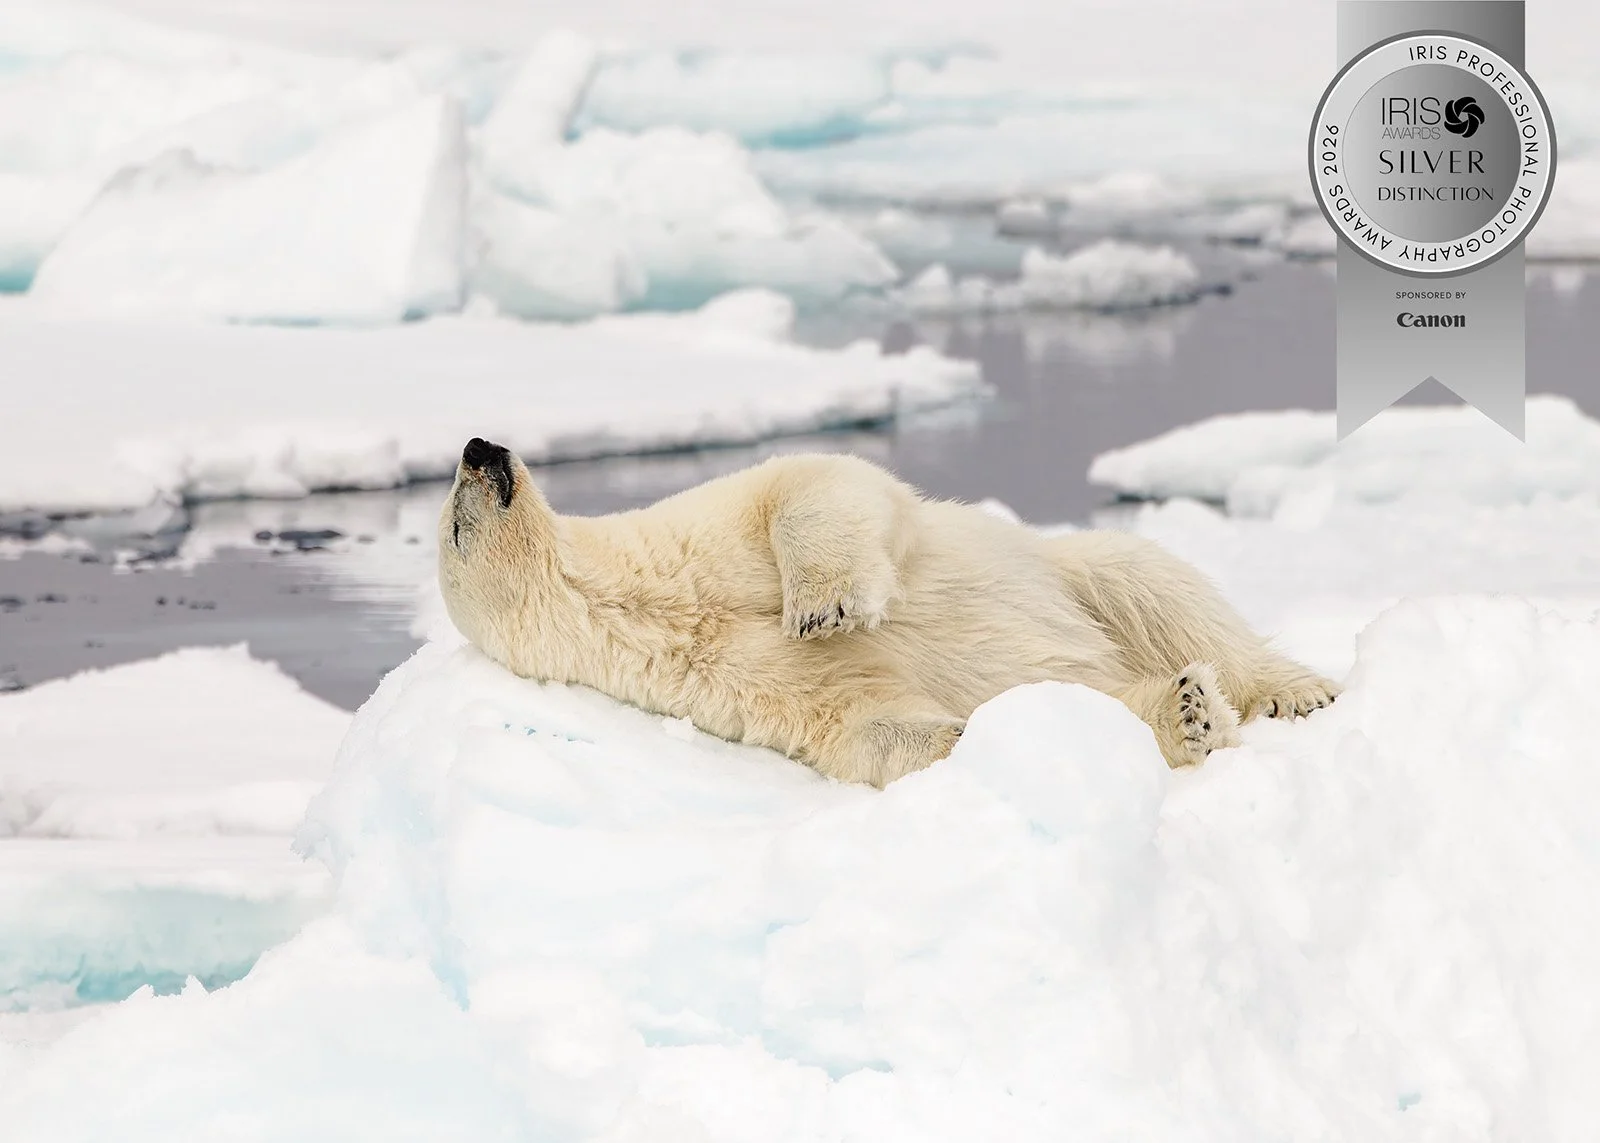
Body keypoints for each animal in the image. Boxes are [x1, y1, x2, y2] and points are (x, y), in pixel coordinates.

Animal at [438, 438, 1338, 787]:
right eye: (454, 522)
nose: (479, 448)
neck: (654, 605)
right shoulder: (720, 682)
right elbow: (857, 721)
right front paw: (960, 734)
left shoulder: (694, 532)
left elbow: (813, 483)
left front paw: (824, 604)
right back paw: (1186, 711)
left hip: (1075, 575)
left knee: (1152, 583)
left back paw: (1296, 690)